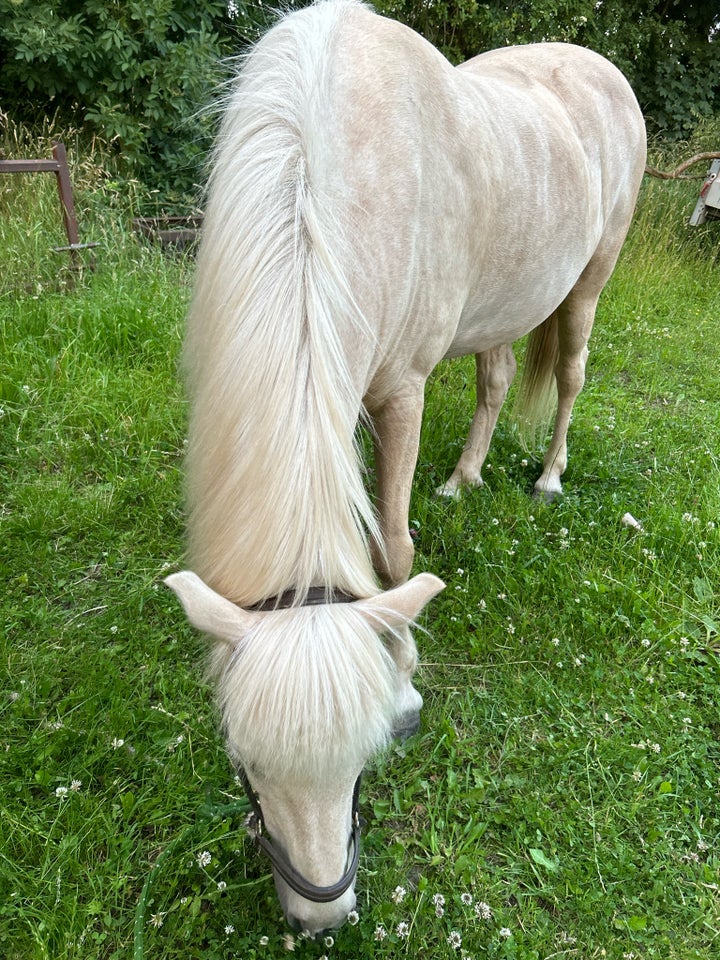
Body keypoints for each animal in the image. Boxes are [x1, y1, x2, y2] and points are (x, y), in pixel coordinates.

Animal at [165, 0, 648, 936]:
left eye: (374, 754)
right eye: (246, 761)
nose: (323, 916)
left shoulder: (400, 395)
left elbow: (393, 549)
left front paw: (406, 664)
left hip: (591, 283)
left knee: (570, 376)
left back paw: (547, 478)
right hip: (506, 300)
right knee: (498, 377)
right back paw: (464, 479)